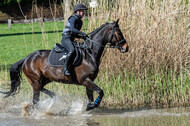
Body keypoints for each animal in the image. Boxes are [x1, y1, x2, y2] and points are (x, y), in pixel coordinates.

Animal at [0, 18, 128, 110]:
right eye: (118, 32)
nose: (126, 48)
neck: (89, 54)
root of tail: (27, 58)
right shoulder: (85, 80)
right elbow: (100, 91)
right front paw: (94, 105)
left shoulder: (89, 80)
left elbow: (90, 94)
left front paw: (90, 106)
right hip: (35, 80)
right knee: (36, 99)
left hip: (45, 79)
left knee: (42, 90)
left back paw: (53, 98)